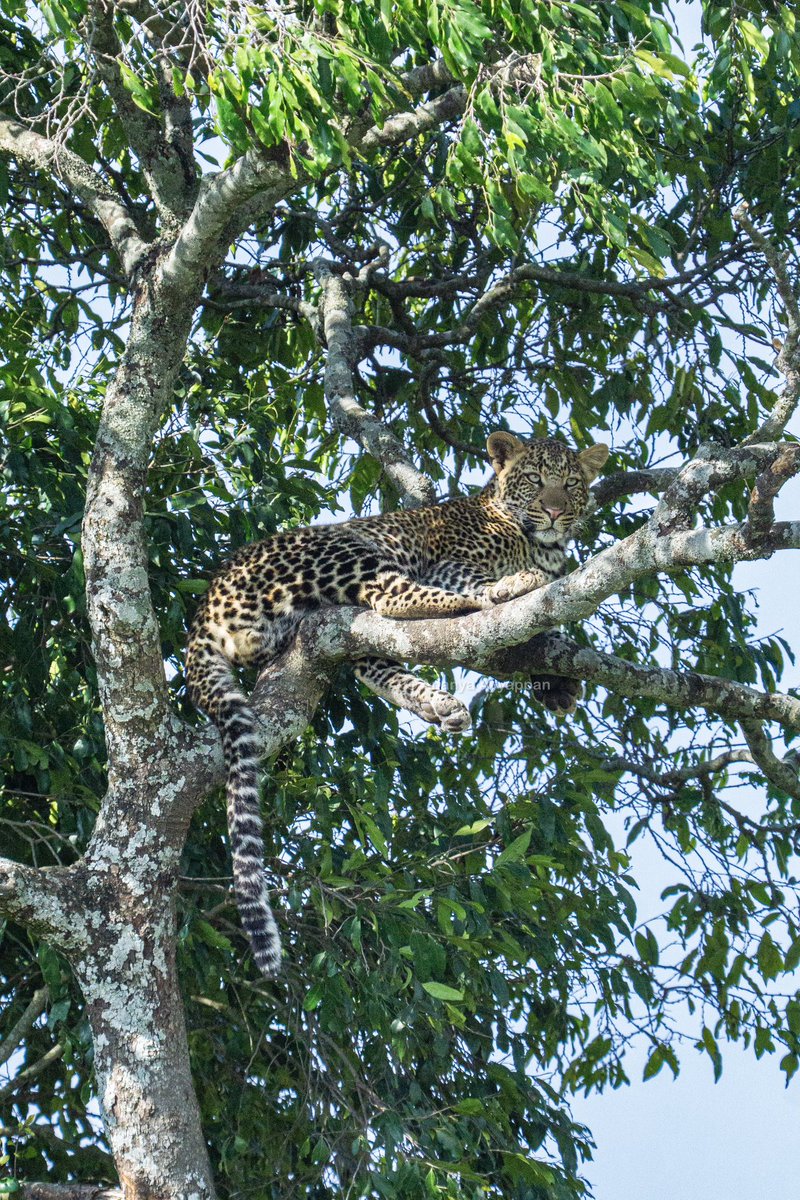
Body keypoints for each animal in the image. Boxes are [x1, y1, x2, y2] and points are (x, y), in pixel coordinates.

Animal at [185, 430, 609, 977]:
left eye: (572, 484)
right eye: (535, 480)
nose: (555, 512)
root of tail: (204, 609)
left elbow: (544, 632)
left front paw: (555, 678)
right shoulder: (451, 563)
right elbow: (489, 589)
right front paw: (512, 588)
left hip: (334, 628)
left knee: (375, 658)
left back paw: (439, 705)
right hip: (346, 548)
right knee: (392, 597)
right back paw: (490, 597)